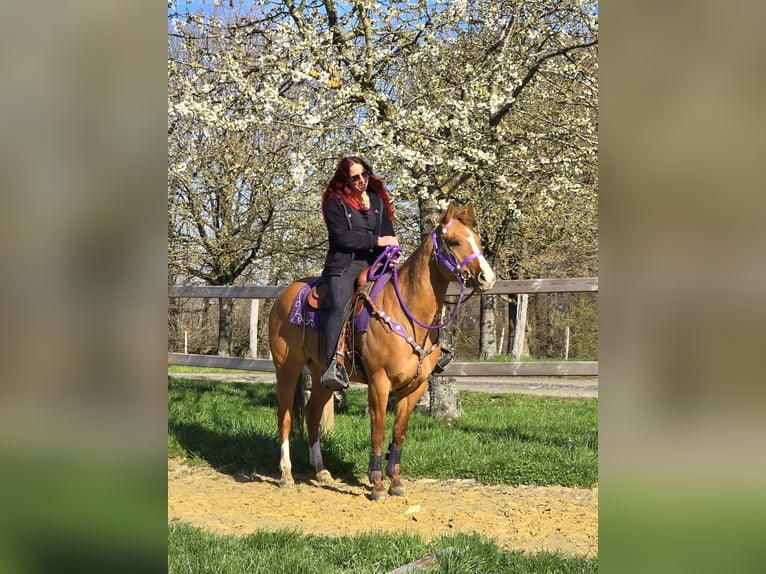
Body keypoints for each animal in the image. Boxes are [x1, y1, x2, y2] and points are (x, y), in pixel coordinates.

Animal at [268, 202, 496, 499]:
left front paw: (395, 482)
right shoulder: (379, 382)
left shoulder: (415, 387)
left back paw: (321, 470)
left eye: (477, 240)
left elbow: (398, 433)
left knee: (312, 413)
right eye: (455, 241)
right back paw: (286, 473)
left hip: (322, 375)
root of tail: (284, 295)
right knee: (284, 415)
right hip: (287, 368)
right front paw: (376, 484)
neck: (407, 312)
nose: (487, 277)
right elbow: (378, 431)